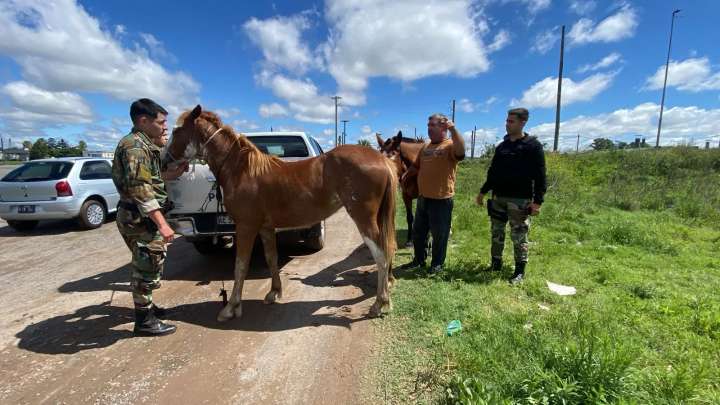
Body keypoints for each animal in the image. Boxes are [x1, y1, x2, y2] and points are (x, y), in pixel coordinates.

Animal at [164, 105, 397, 321]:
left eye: (176, 131)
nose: (164, 160)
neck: (243, 170)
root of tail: (381, 160)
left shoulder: (246, 226)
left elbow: (240, 266)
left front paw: (231, 307)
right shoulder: (266, 228)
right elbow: (271, 258)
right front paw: (274, 292)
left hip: (364, 219)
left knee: (381, 254)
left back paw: (380, 304)